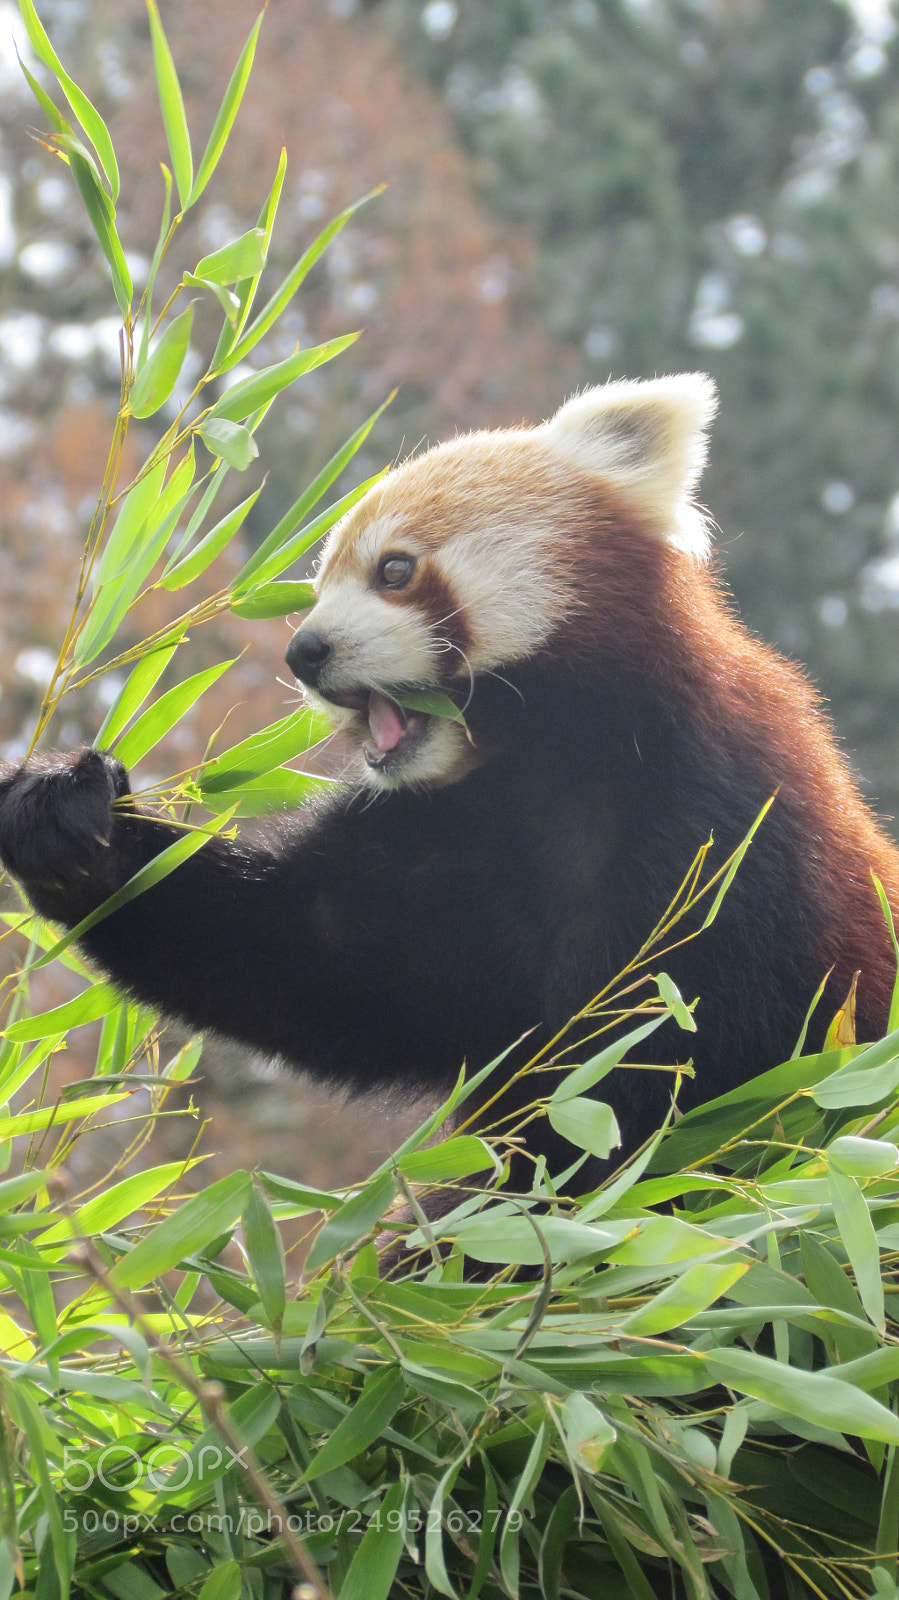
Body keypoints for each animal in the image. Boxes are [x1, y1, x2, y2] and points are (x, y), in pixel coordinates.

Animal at [0, 374, 897, 1194]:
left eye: (393, 570)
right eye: (317, 584)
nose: (304, 653)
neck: (540, 767)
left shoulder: (728, 835)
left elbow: (654, 1081)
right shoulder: (443, 840)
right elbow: (305, 947)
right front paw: (69, 818)